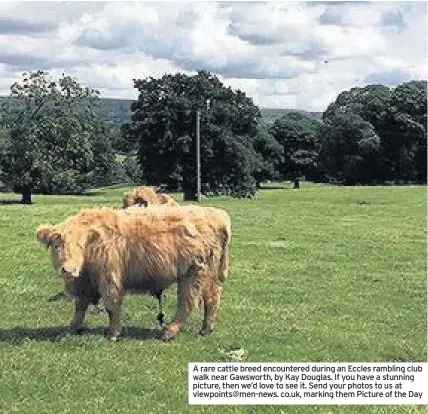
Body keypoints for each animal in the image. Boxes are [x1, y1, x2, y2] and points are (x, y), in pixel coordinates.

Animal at [36, 205, 231, 342]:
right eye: (56, 246)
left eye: (80, 245)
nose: (68, 270)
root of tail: (217, 215)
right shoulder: (86, 284)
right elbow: (80, 306)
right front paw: (74, 327)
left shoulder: (109, 279)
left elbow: (112, 306)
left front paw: (113, 333)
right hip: (207, 275)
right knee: (212, 297)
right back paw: (206, 329)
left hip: (192, 275)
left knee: (187, 303)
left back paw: (168, 332)